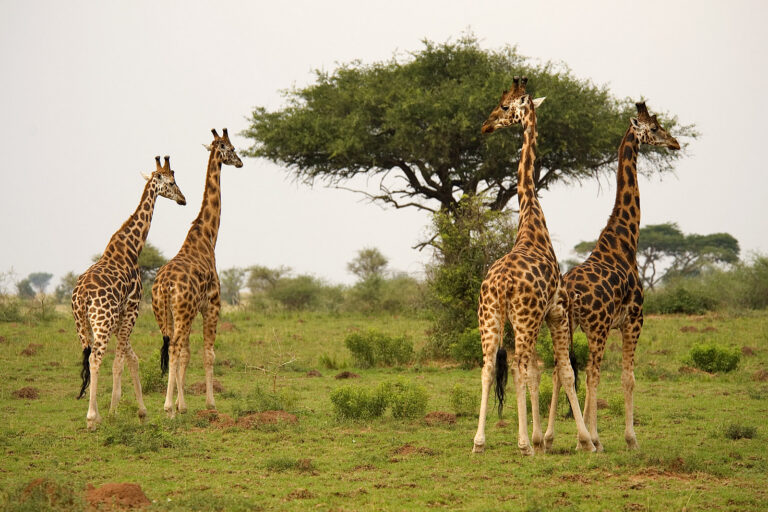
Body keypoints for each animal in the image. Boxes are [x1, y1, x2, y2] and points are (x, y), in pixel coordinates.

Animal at [72, 156, 186, 430]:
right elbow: (120, 361)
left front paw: (140, 411)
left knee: (89, 356)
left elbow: (131, 358)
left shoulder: (120, 316)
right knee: (95, 359)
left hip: (82, 325)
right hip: (102, 321)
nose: (183, 199)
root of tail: (81, 297)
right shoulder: (132, 309)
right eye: (172, 182)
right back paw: (92, 418)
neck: (131, 247)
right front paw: (114, 411)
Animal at [152, 128, 243, 417]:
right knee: (174, 347)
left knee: (172, 346)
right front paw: (209, 404)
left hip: (164, 313)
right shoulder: (212, 304)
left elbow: (188, 354)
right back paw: (168, 406)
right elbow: (208, 353)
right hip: (181, 312)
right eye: (231, 148)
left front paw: (184, 404)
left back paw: (171, 405)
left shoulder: (193, 310)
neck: (207, 236)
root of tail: (164, 286)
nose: (240, 162)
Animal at [473, 77, 594, 456]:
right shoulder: (556, 310)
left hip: (491, 318)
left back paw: (479, 442)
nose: (485, 125)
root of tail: (499, 285)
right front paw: (584, 441)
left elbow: (536, 372)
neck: (530, 222)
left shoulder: (536, 317)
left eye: (504, 106)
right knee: (519, 367)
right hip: (523, 320)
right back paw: (524, 443)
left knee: (489, 368)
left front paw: (543, 438)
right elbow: (562, 371)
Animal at [543, 102, 680, 452]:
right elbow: (627, 378)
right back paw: (590, 440)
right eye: (655, 128)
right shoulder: (633, 320)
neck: (624, 242)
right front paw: (630, 439)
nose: (675, 143)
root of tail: (571, 289)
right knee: (591, 373)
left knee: (560, 369)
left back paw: (550, 438)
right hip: (598, 326)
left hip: (566, 322)